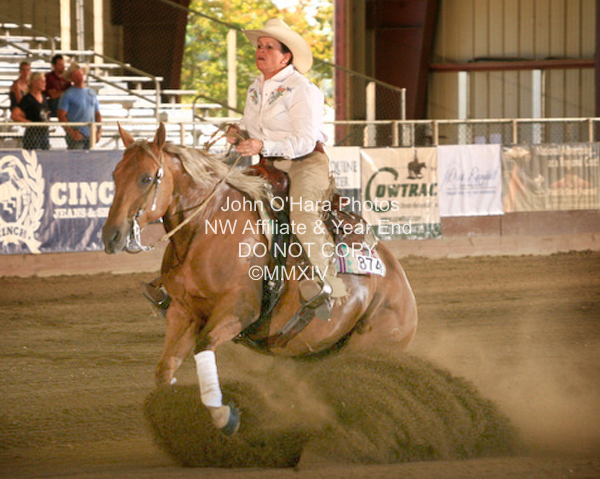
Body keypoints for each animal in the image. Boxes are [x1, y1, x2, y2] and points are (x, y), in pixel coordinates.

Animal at [102, 123, 418, 434]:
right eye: (115, 176)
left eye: (145, 178)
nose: (111, 237)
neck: (207, 226)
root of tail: (403, 286)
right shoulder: (183, 312)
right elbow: (165, 368)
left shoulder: (240, 309)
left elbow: (204, 345)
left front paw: (224, 415)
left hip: (370, 350)